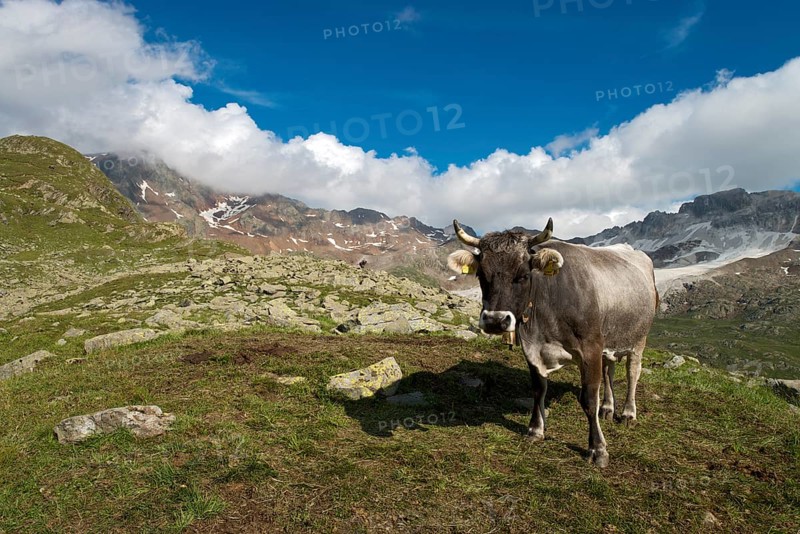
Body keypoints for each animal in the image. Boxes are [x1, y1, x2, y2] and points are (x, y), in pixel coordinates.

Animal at [447, 218, 658, 467]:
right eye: (481, 275)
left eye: (523, 275)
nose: (495, 321)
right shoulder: (532, 348)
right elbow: (539, 390)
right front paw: (535, 430)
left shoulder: (591, 348)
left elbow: (589, 399)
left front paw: (597, 448)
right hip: (610, 338)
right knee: (610, 370)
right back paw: (608, 408)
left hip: (638, 338)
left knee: (632, 372)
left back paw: (627, 413)